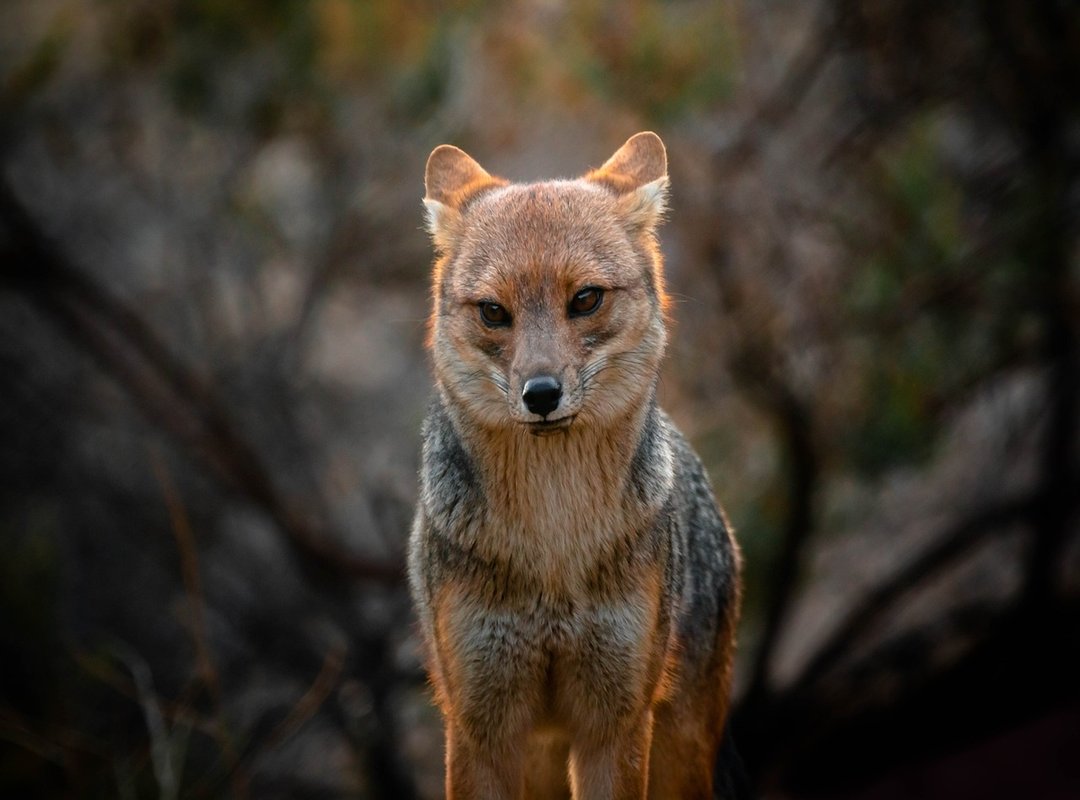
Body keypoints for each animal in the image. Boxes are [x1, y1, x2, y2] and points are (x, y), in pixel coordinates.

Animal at [408, 132, 742, 799]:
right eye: (493, 312)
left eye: (585, 299)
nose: (541, 394)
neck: (553, 545)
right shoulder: (479, 729)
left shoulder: (614, 726)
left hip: (680, 753)